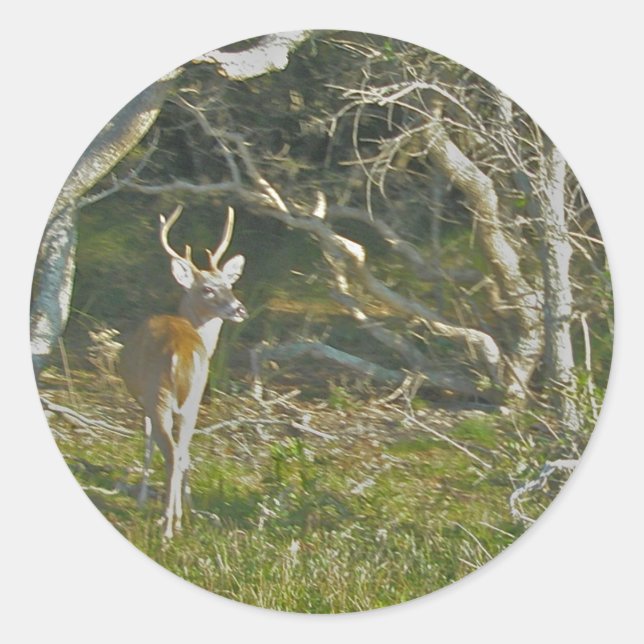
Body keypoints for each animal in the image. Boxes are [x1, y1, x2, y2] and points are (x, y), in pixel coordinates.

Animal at [120, 204, 247, 539]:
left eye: (230, 285)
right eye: (208, 288)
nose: (240, 308)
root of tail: (181, 352)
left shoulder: (144, 400)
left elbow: (148, 443)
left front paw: (142, 498)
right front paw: (187, 506)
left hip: (160, 395)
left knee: (170, 451)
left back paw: (168, 525)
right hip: (194, 399)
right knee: (182, 451)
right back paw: (178, 516)